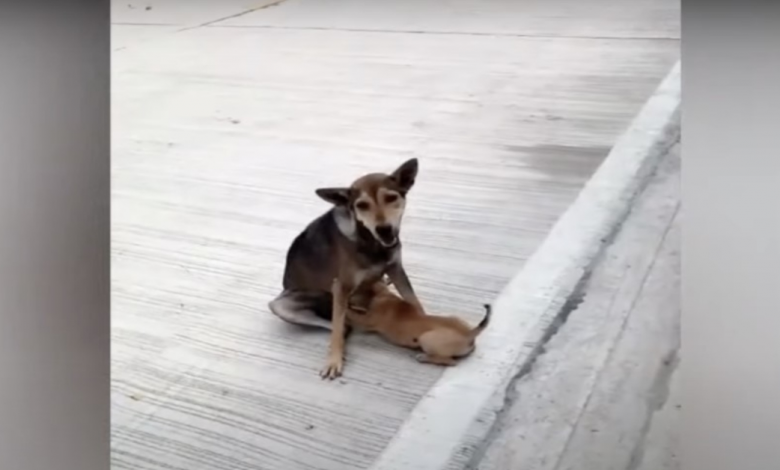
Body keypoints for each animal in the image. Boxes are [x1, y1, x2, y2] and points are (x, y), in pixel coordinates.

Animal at [270, 158, 426, 378]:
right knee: (342, 327)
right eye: (361, 205)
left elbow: (414, 301)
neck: (371, 242)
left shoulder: (396, 269)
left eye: (391, 198)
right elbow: (336, 330)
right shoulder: (341, 286)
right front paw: (334, 361)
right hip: (283, 304)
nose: (384, 229)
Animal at [346, 280, 490, 366]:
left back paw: (424, 357)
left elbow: (351, 313)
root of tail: (469, 333)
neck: (382, 293)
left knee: (450, 361)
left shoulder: (366, 320)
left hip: (425, 338)